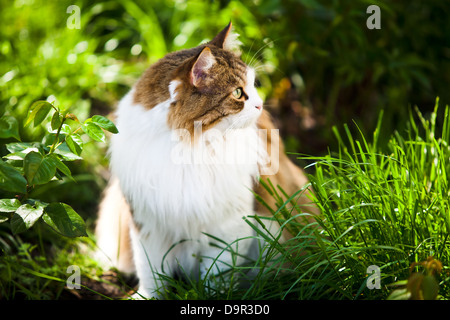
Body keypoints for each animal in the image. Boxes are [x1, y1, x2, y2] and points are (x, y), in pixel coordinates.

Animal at [95, 21, 320, 298]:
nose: (261, 104)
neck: (187, 148)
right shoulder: (148, 223)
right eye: (238, 93)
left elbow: (215, 278)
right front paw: (147, 296)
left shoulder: (229, 228)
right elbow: (151, 273)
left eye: (253, 84)